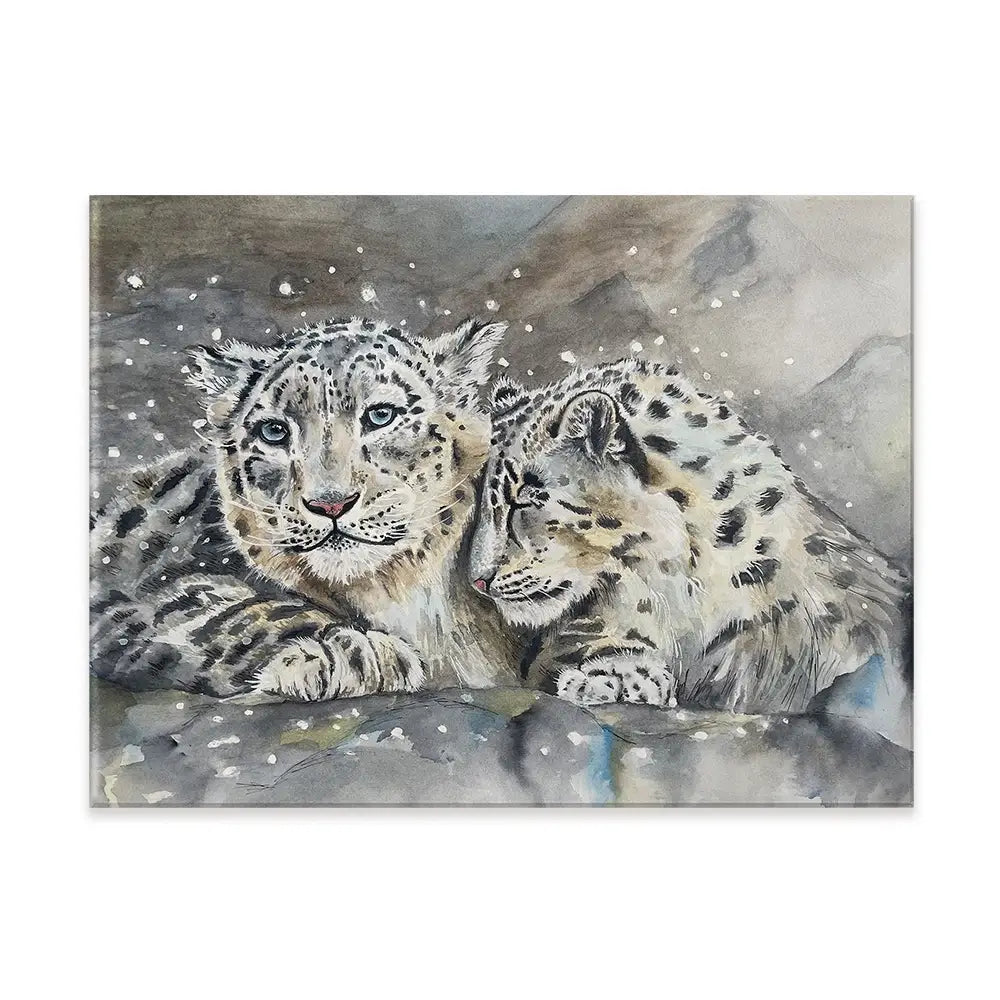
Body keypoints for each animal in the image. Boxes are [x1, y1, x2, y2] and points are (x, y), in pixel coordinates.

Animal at [91, 316, 519, 701]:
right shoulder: (140, 590)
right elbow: (234, 610)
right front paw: (354, 653)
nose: (330, 503)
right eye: (273, 431)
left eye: (381, 415)